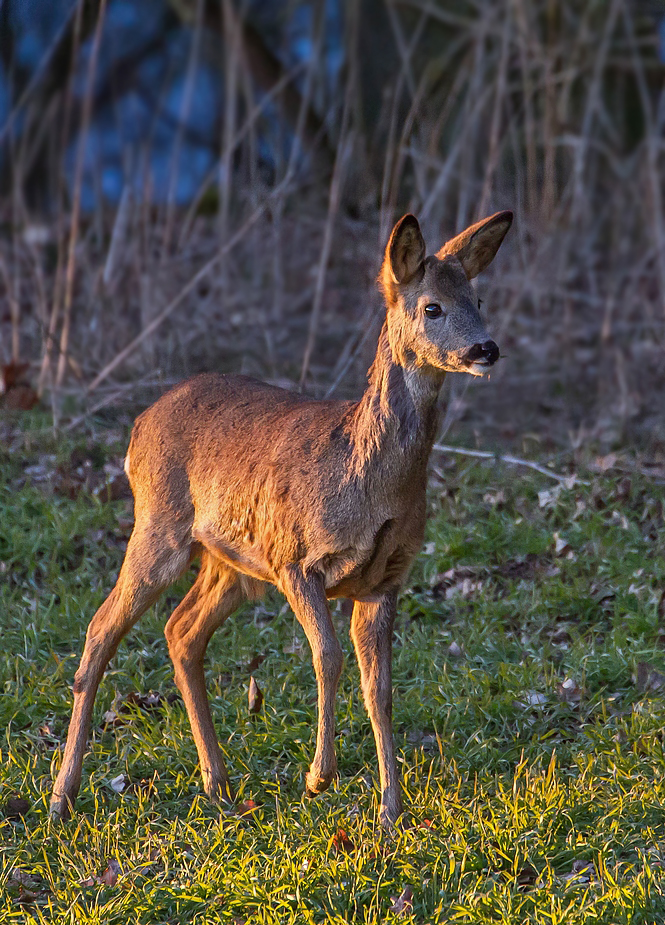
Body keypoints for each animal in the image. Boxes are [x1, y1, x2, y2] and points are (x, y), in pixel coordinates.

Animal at [49, 211, 510, 832]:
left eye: (478, 298)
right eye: (432, 306)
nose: (486, 347)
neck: (368, 480)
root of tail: (139, 425)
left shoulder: (386, 578)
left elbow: (381, 689)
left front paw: (391, 811)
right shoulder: (295, 559)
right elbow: (329, 658)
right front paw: (320, 776)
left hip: (231, 565)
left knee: (181, 632)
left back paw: (217, 784)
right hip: (160, 527)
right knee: (102, 628)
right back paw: (62, 797)